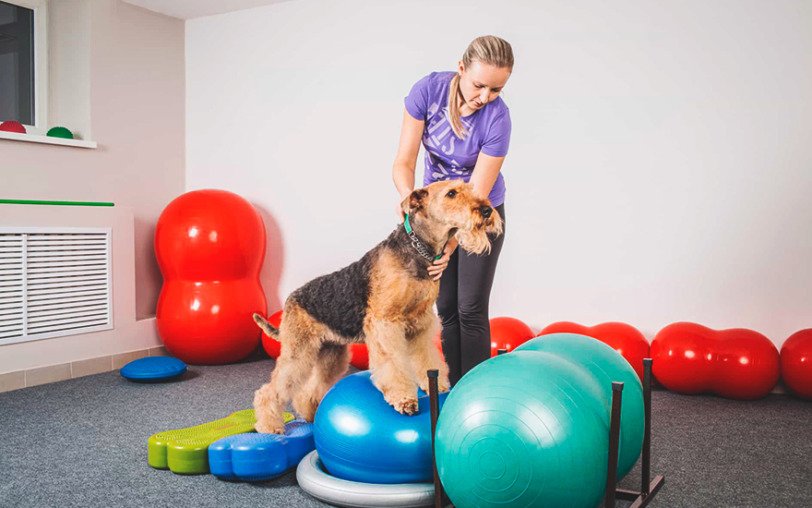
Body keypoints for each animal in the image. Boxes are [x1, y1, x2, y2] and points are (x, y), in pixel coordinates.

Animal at [252, 180, 503, 434]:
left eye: (470, 189)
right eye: (451, 193)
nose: (486, 210)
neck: (417, 249)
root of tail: (291, 299)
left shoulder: (421, 322)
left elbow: (427, 359)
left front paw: (438, 385)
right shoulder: (385, 322)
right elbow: (393, 363)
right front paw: (405, 400)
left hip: (331, 354)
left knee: (308, 391)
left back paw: (309, 414)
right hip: (298, 352)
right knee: (270, 390)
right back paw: (270, 426)